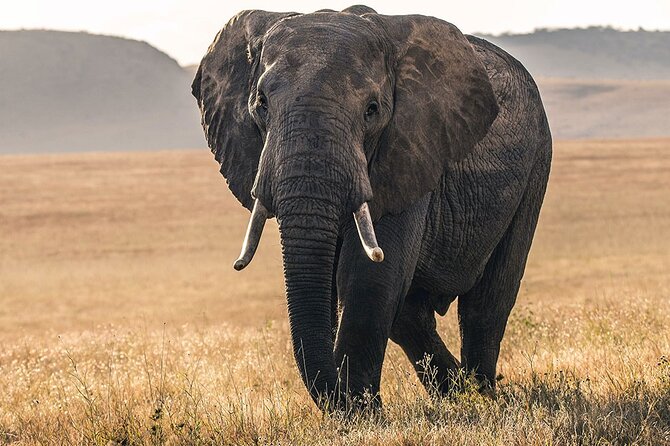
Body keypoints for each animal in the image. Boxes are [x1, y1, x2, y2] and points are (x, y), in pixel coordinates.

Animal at [191, 5, 552, 410]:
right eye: (261, 104)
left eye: (372, 110)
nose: (342, 398)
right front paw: (359, 409)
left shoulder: (409, 147)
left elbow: (368, 277)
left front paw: (362, 414)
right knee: (411, 315)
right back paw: (456, 396)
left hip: (537, 162)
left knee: (487, 303)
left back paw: (482, 398)